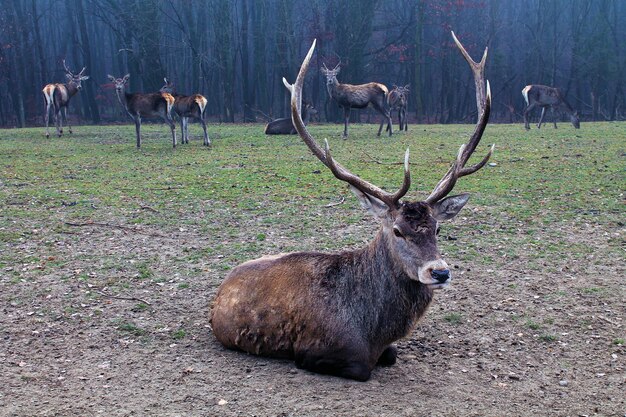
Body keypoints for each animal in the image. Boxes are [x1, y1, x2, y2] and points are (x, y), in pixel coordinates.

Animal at [212, 35, 494, 380]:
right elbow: (362, 367)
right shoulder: (316, 349)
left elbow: (392, 354)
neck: (374, 330)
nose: (439, 271)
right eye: (397, 231)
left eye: (438, 228)